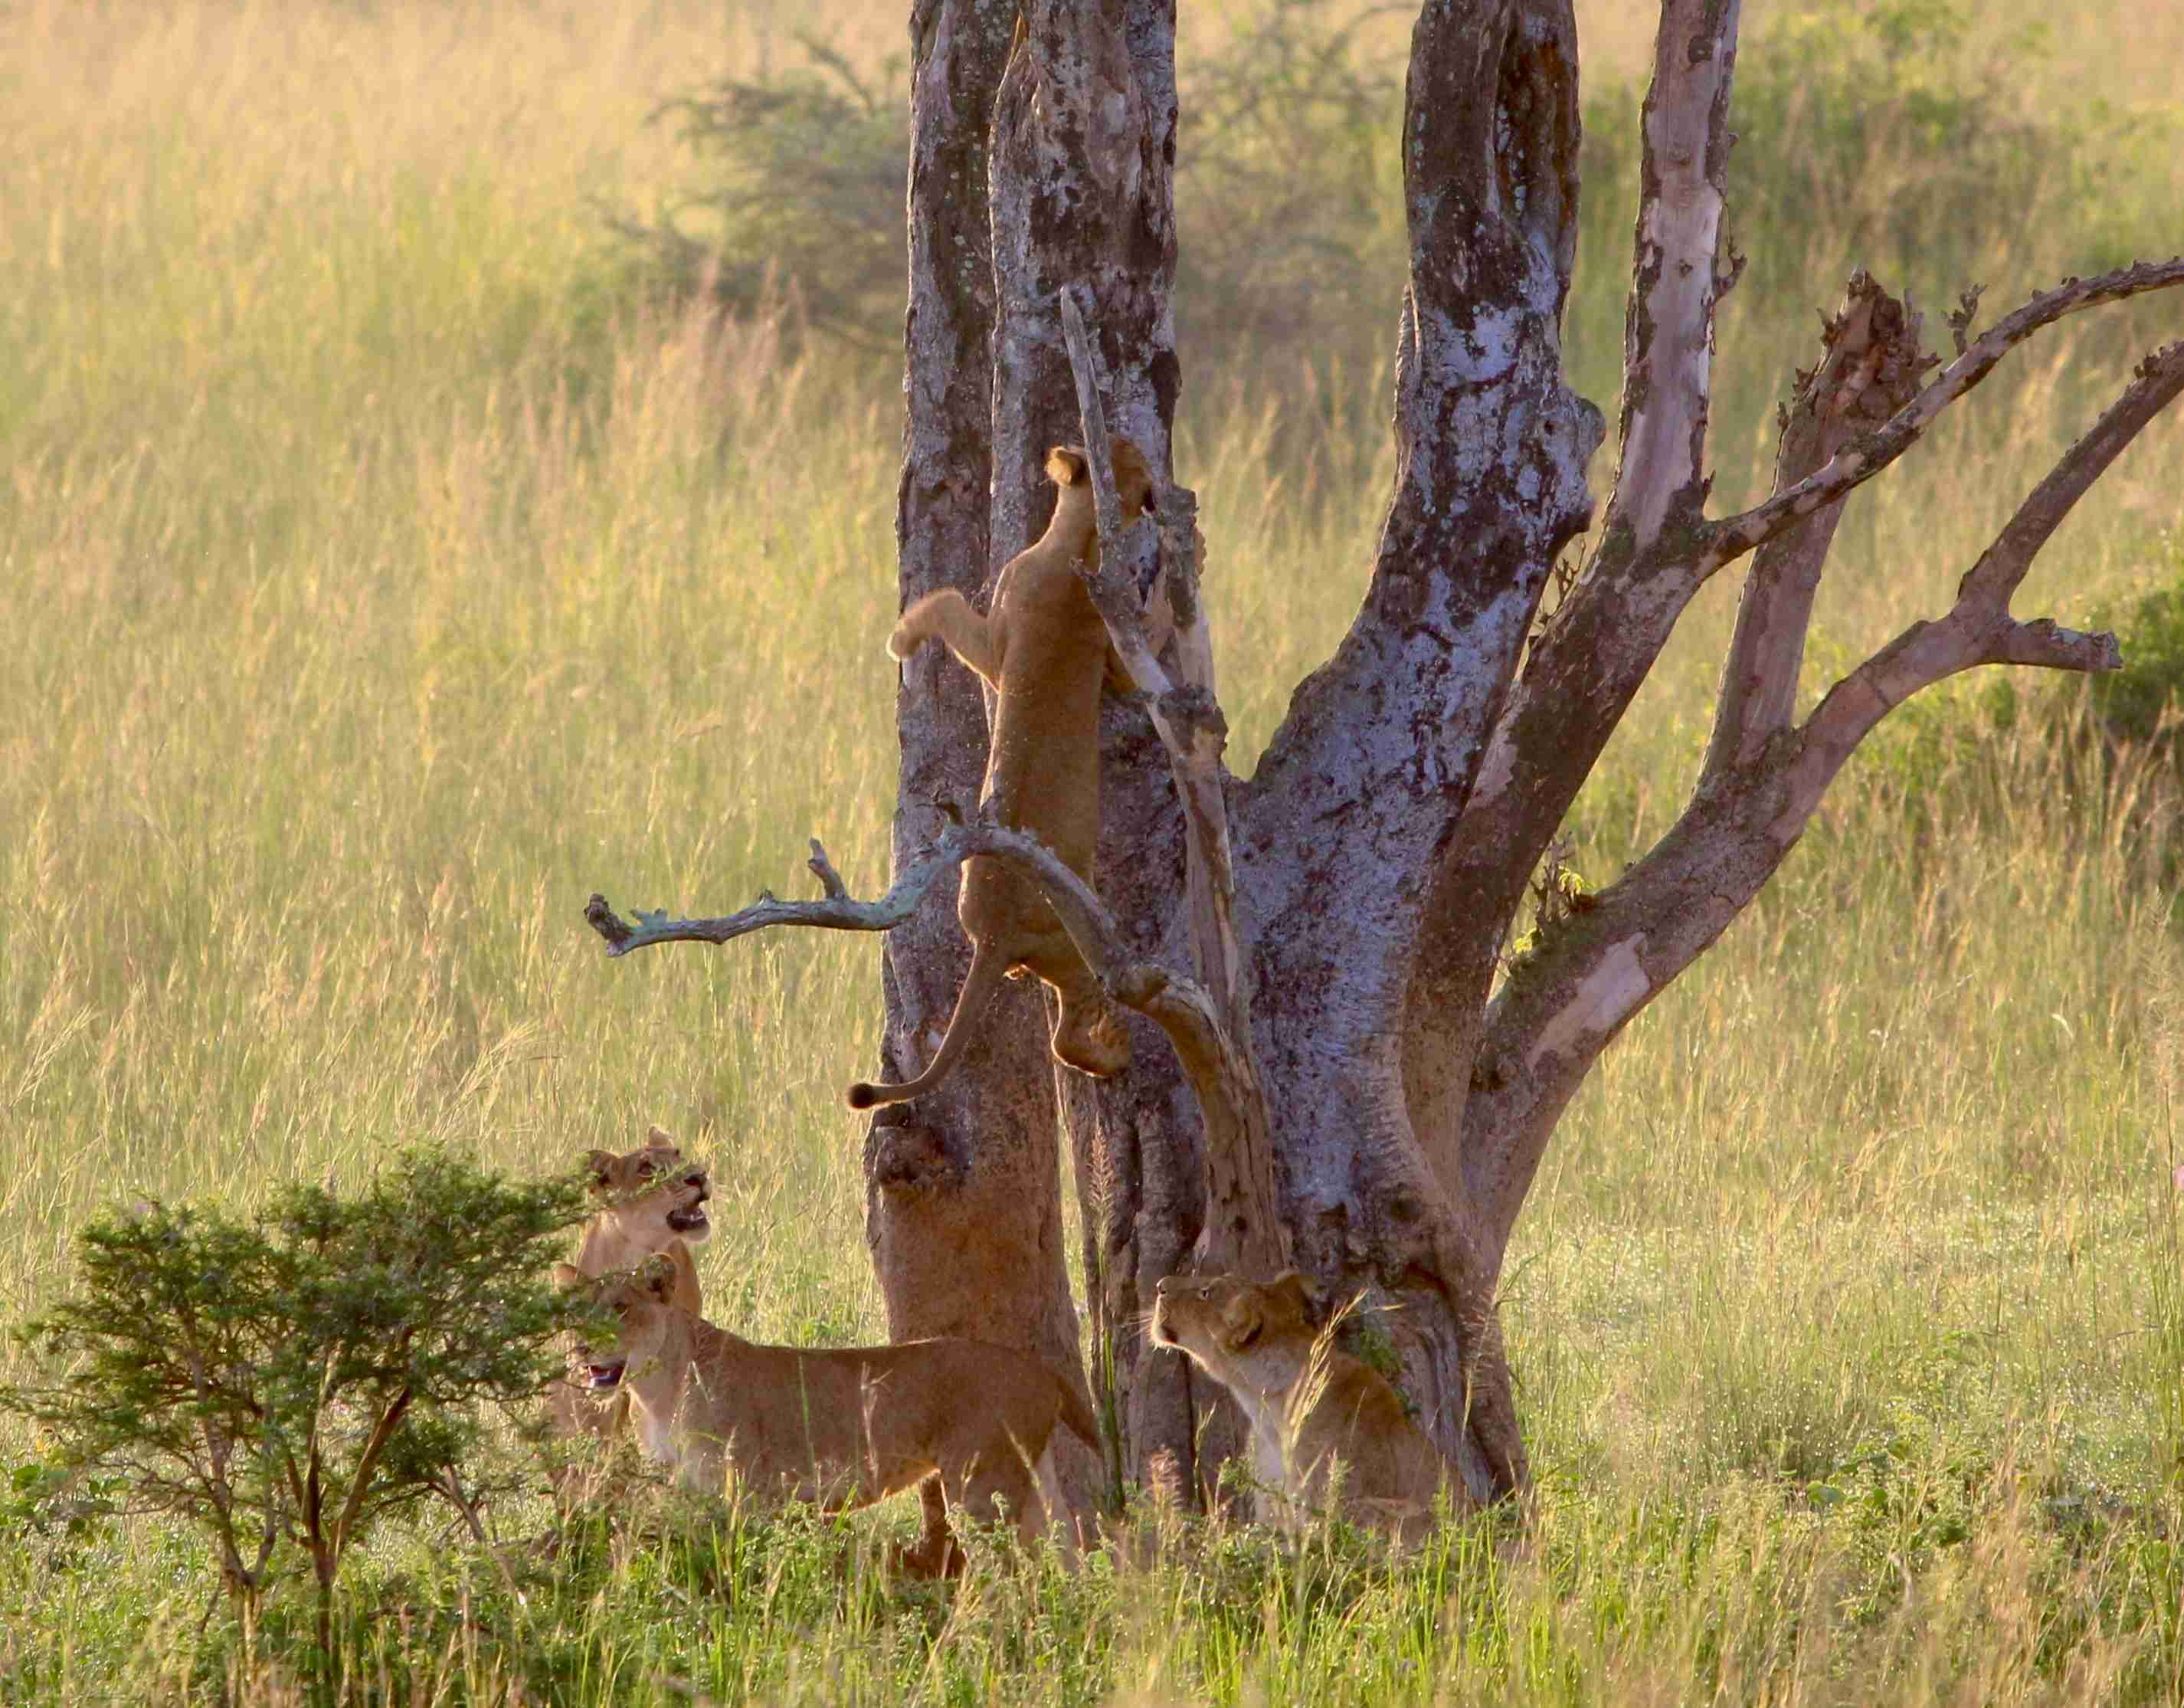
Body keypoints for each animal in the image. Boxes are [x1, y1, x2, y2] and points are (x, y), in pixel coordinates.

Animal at [557, 1257, 1102, 1573]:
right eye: (575, 1308)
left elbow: (740, 1563)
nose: (581, 1348)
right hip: (1033, 1480)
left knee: (1008, 1579)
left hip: (980, 1488)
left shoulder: (748, 1494)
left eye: (621, 1307)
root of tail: (1038, 1369)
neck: (655, 1389)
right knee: (1068, 1555)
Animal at [847, 436, 1155, 1110]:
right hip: (1063, 944)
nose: (1155, 495)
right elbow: (946, 601)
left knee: (1063, 1027)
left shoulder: (1002, 644)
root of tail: (993, 936)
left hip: (1040, 941)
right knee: (1066, 1028)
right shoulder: (1076, 645)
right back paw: (1111, 1046)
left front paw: (901, 638)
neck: (1075, 541)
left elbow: (947, 605)